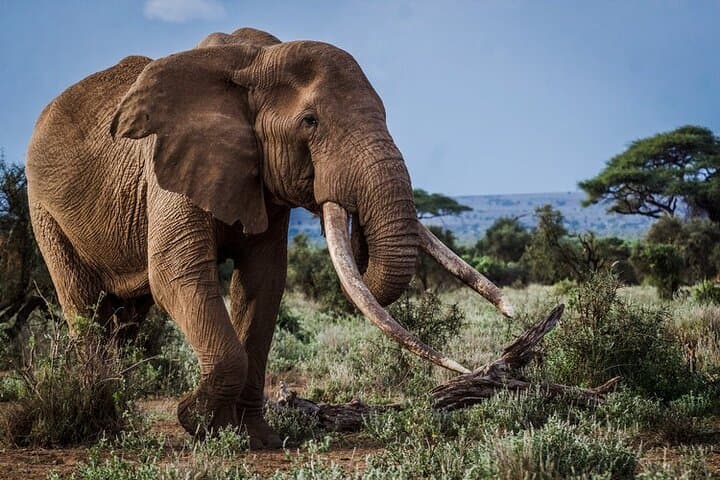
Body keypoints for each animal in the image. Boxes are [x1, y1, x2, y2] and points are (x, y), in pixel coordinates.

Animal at [25, 27, 512, 448]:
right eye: (310, 121)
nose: (510, 311)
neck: (250, 62)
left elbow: (264, 282)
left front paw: (256, 440)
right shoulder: (168, 168)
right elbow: (177, 275)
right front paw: (195, 421)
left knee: (126, 317)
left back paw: (119, 406)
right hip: (43, 208)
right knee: (84, 303)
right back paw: (102, 418)